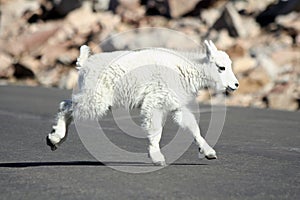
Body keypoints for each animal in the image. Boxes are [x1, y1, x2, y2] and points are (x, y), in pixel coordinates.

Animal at [47, 39, 239, 166]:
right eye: (221, 67)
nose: (235, 85)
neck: (187, 69)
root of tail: (85, 63)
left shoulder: (175, 105)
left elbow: (193, 127)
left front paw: (208, 152)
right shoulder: (155, 101)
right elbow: (156, 130)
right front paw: (157, 157)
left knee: (69, 106)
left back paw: (56, 140)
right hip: (97, 98)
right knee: (66, 105)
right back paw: (54, 137)